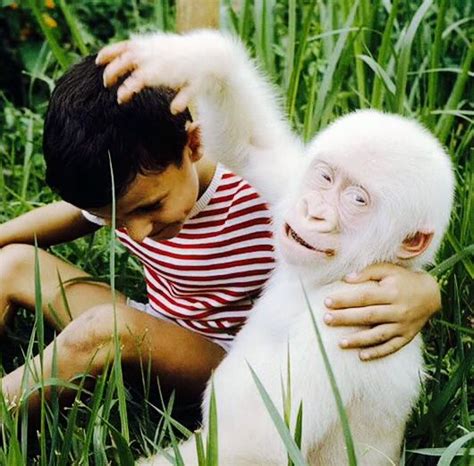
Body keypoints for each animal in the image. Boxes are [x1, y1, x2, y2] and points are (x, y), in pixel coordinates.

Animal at [97, 30, 456, 466]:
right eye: (324, 177)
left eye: (357, 200)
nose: (315, 211)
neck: (327, 280)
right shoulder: (289, 182)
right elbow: (250, 144)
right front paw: (185, 59)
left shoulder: (343, 330)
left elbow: (254, 443)